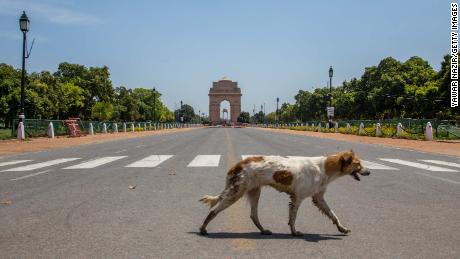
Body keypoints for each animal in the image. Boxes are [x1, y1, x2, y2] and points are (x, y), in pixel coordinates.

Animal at [198, 150, 370, 238]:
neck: (324, 168)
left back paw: (263, 230)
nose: (369, 172)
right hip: (236, 192)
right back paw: (203, 228)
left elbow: (334, 215)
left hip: (254, 191)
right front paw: (294, 232)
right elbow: (293, 217)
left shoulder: (318, 198)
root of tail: (238, 164)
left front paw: (342, 228)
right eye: (358, 164)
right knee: (213, 210)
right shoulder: (298, 197)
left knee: (253, 215)